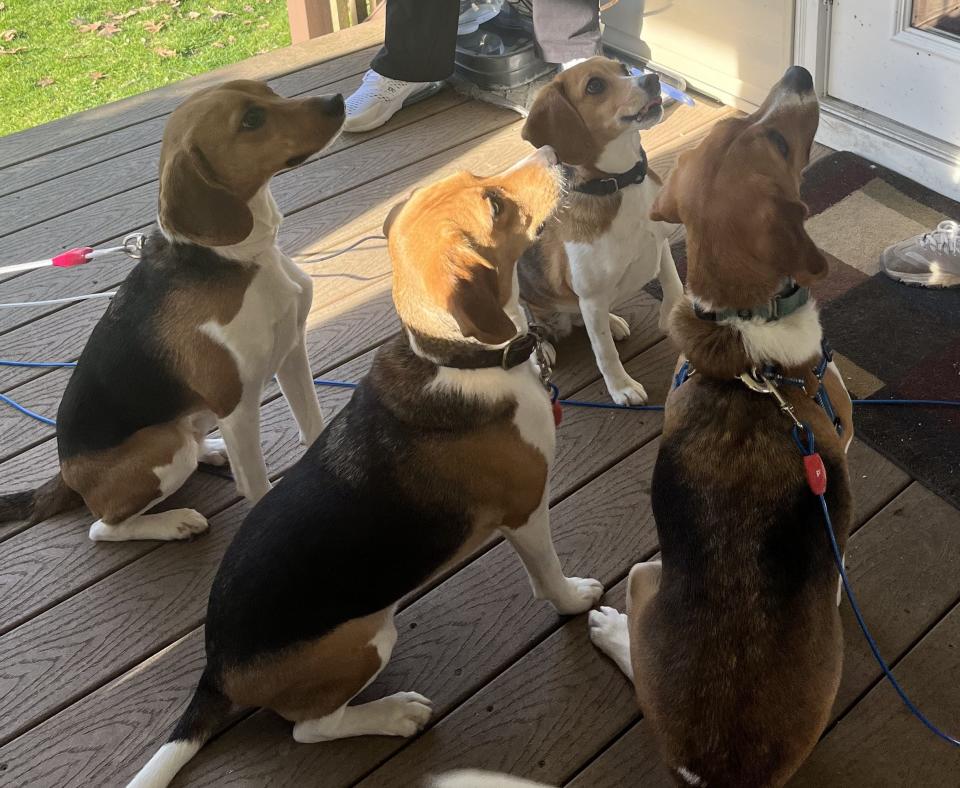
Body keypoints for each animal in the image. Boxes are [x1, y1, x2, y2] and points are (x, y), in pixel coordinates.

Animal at [0, 84, 344, 540]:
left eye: (269, 91)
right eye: (251, 120)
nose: (337, 101)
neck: (239, 257)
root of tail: (66, 473)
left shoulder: (290, 353)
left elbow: (314, 425)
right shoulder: (236, 406)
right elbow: (256, 484)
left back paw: (211, 450)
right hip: (165, 446)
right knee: (103, 528)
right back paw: (174, 521)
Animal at [129, 148, 600, 788]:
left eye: (476, 179)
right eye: (494, 204)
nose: (552, 155)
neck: (454, 357)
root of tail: (217, 667)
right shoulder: (526, 510)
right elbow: (548, 575)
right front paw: (575, 599)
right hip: (366, 639)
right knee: (310, 728)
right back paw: (393, 713)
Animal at [516, 57, 684, 406]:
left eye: (624, 69)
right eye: (594, 86)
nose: (652, 80)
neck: (621, 183)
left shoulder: (661, 244)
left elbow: (673, 285)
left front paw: (670, 317)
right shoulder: (591, 296)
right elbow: (605, 353)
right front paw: (621, 387)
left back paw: (612, 321)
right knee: (530, 329)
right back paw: (542, 350)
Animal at [592, 69, 856, 788]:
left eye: (739, 126)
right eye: (778, 142)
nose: (798, 75)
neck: (744, 335)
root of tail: (718, 768)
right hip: (644, 573)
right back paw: (609, 630)